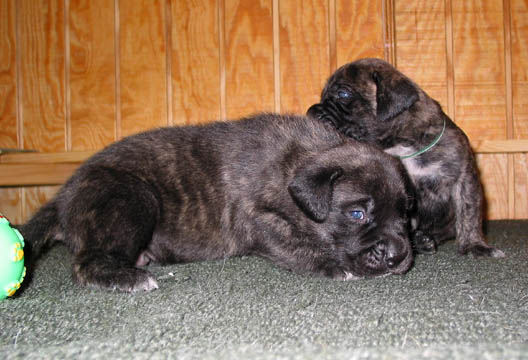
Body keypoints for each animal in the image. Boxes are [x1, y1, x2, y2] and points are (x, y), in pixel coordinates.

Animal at [18, 113, 414, 292]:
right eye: (357, 213)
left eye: (406, 216)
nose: (398, 255)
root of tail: (64, 195)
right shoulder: (258, 220)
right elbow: (297, 247)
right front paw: (332, 266)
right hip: (131, 197)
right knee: (85, 263)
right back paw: (127, 276)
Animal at [308, 57, 506, 258]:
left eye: (343, 94)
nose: (312, 111)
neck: (402, 145)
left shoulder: (464, 178)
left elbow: (469, 214)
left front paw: (474, 245)